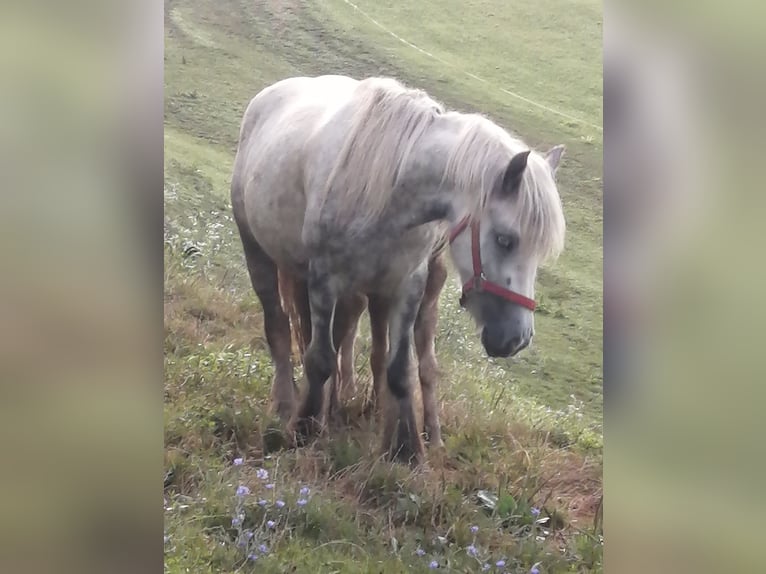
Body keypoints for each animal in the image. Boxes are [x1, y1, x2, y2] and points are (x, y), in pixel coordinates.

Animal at [231, 74, 568, 466]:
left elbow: (399, 369)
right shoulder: (325, 278)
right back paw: (286, 404)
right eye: (505, 239)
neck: (392, 191)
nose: (518, 339)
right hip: (259, 252)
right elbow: (320, 359)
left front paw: (407, 450)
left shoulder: (407, 285)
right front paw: (303, 430)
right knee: (279, 327)